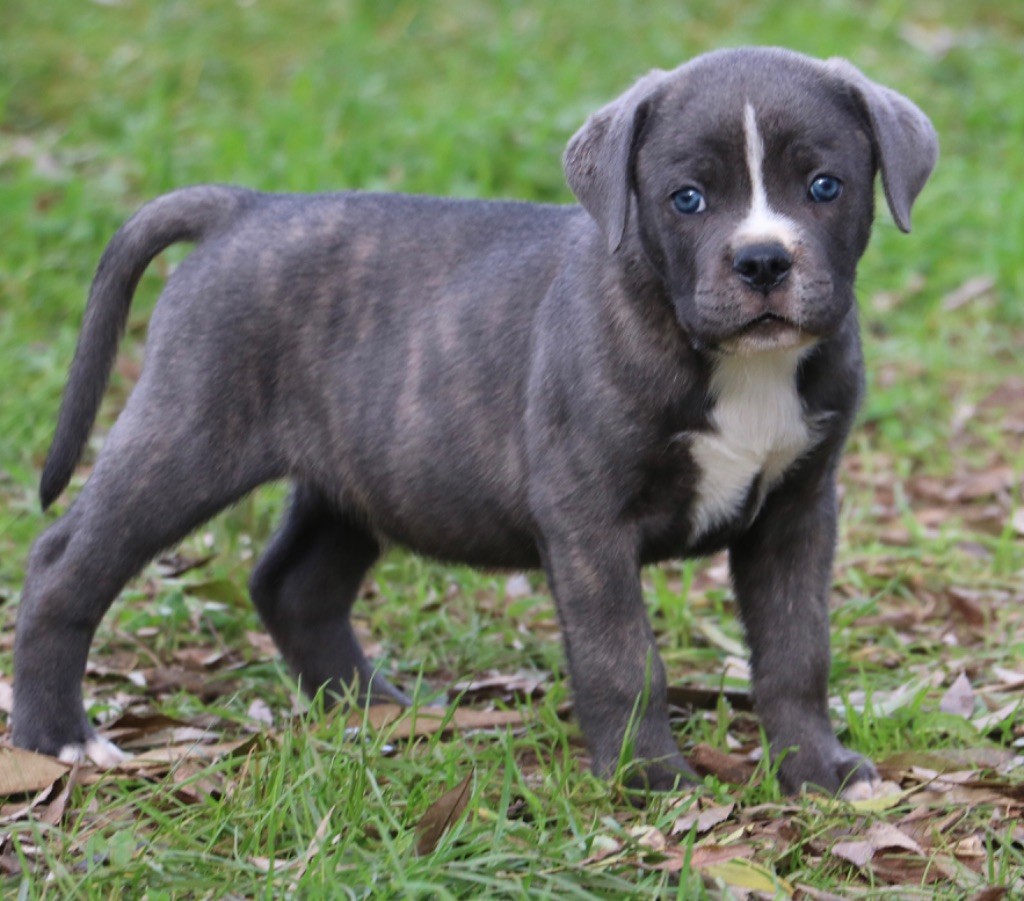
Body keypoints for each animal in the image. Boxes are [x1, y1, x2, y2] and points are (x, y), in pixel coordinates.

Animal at [9, 49, 937, 794]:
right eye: (687, 199)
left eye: (825, 187)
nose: (763, 260)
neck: (732, 361)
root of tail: (244, 208)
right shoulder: (590, 520)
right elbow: (623, 656)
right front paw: (647, 778)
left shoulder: (797, 511)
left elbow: (796, 651)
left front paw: (818, 768)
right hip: (187, 435)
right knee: (64, 562)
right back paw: (57, 736)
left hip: (359, 470)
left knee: (293, 583)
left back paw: (375, 708)